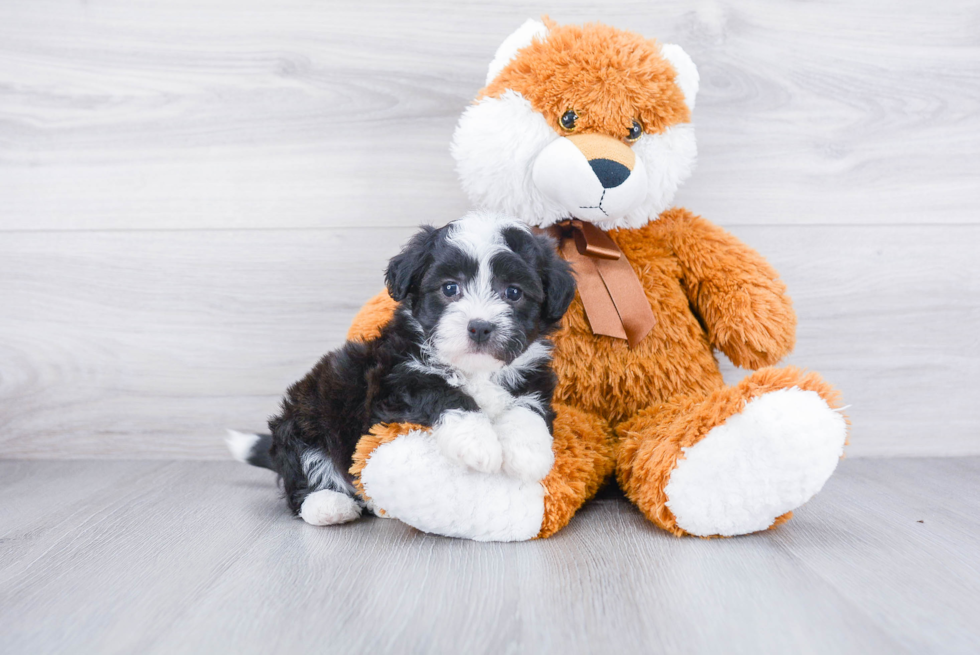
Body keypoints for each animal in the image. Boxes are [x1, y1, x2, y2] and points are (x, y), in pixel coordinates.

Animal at [229, 213, 576, 532]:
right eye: (450, 288)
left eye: (513, 292)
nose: (479, 327)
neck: (475, 370)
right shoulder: (393, 380)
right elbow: (441, 391)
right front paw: (476, 442)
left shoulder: (534, 379)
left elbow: (528, 409)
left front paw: (529, 454)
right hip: (307, 416)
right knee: (306, 469)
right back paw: (329, 505)